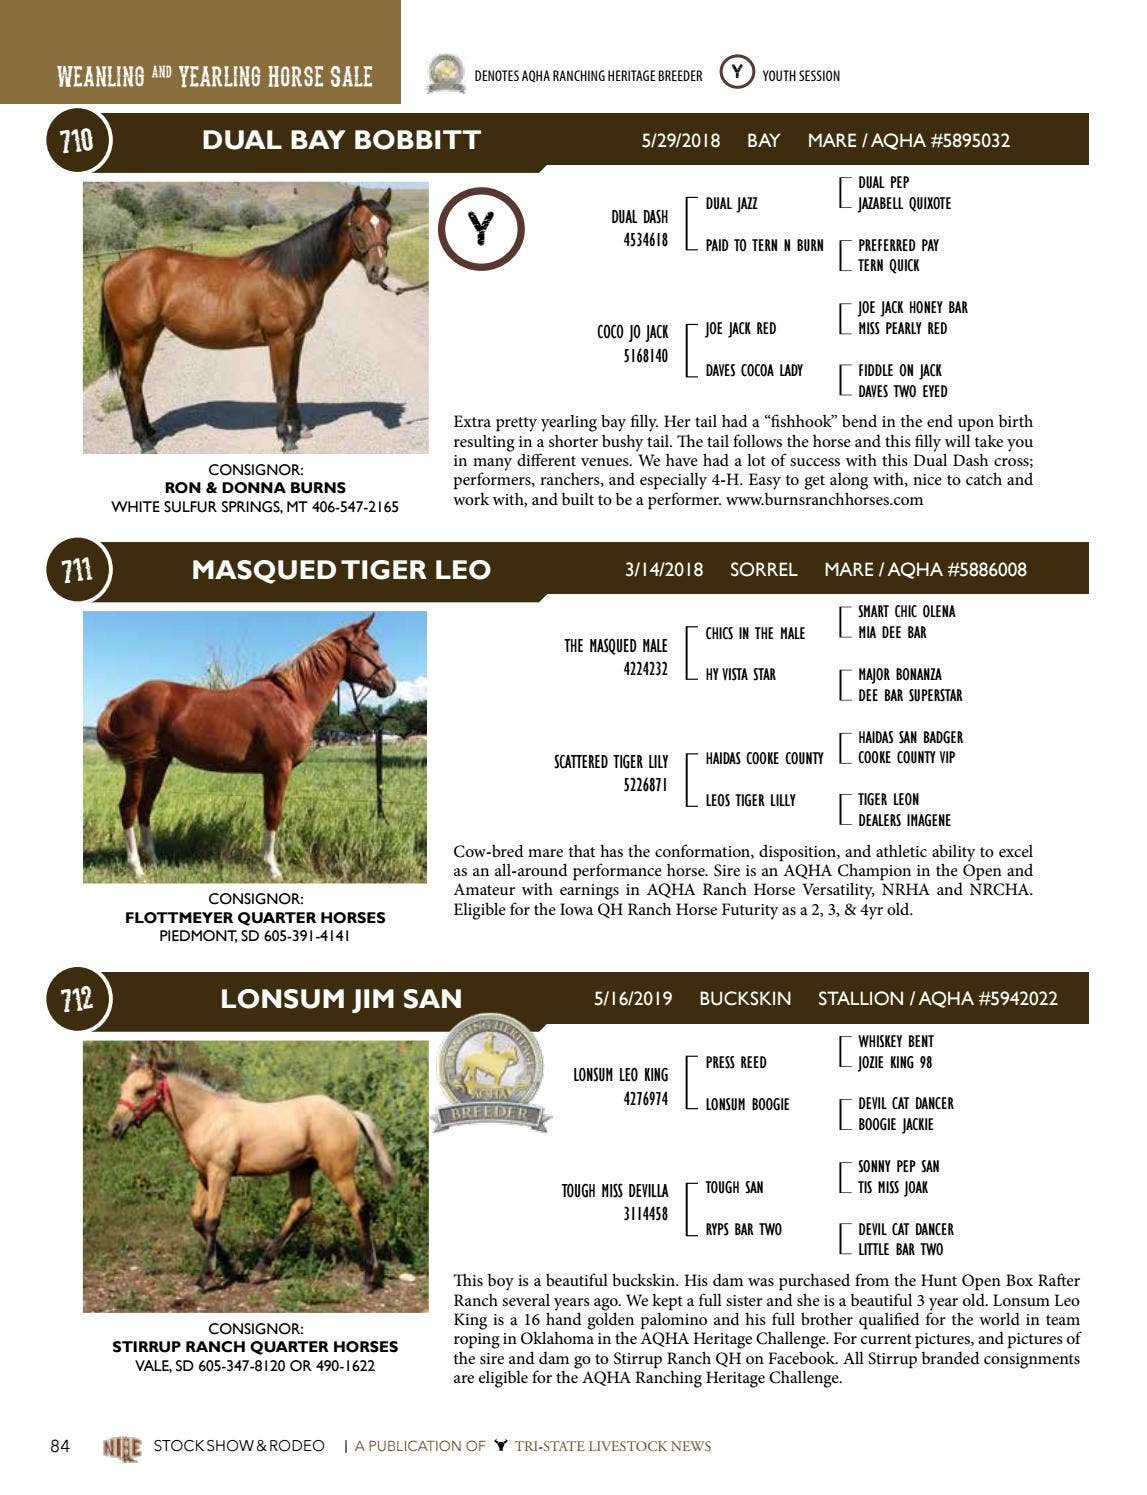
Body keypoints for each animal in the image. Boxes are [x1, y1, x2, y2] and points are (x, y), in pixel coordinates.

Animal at [95, 613, 395, 880]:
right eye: (375, 646)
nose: (390, 685)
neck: (292, 699)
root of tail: (122, 698)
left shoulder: (269, 772)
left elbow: (268, 812)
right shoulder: (279, 768)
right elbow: (273, 814)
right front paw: (272, 868)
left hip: (159, 762)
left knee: (145, 806)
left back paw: (154, 860)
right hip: (136, 763)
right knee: (129, 806)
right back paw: (137, 867)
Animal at [98, 186, 393, 453]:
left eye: (388, 227)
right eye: (358, 227)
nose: (379, 271)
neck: (292, 276)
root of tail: (116, 267)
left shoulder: (298, 338)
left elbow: (294, 383)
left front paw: (299, 428)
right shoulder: (280, 339)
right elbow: (282, 386)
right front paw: (285, 437)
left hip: (149, 337)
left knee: (136, 382)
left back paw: (149, 431)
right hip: (135, 340)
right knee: (130, 382)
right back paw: (144, 441)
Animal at [107, 1051, 395, 1293]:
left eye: (141, 1090)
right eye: (123, 1088)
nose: (114, 1127)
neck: (206, 1115)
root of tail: (348, 1112)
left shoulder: (220, 1173)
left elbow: (211, 1221)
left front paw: (204, 1279)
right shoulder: (204, 1175)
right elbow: (197, 1219)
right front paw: (235, 1268)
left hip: (339, 1172)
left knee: (360, 1208)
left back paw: (369, 1278)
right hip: (301, 1169)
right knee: (301, 1207)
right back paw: (260, 1269)